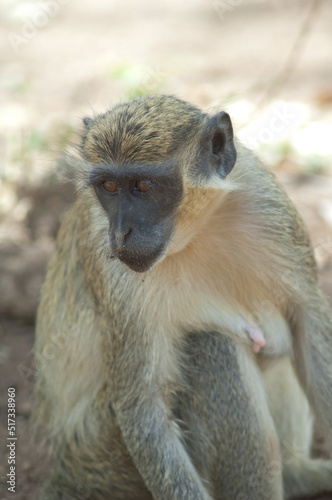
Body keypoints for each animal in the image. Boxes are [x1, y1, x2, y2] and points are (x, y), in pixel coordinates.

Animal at [33, 94, 332, 500]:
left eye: (143, 185)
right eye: (109, 186)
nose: (122, 233)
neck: (194, 231)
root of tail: (66, 469)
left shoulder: (266, 200)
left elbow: (308, 318)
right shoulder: (108, 260)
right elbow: (144, 407)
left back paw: (298, 474)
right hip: (105, 458)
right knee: (212, 344)